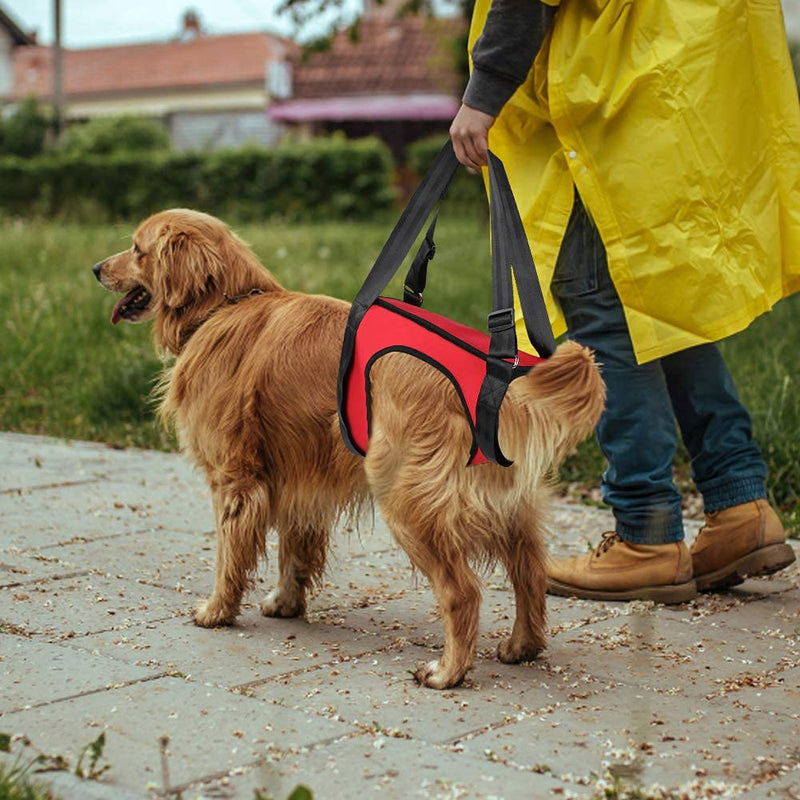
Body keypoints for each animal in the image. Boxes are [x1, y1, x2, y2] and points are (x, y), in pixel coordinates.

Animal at [92, 209, 608, 692]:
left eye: (136, 249)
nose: (96, 267)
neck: (225, 305)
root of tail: (496, 387)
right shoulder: (299, 474)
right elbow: (294, 550)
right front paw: (285, 602)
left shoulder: (234, 478)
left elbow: (229, 555)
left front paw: (217, 610)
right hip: (508, 508)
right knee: (530, 574)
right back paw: (523, 646)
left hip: (406, 498)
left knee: (462, 592)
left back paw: (447, 672)